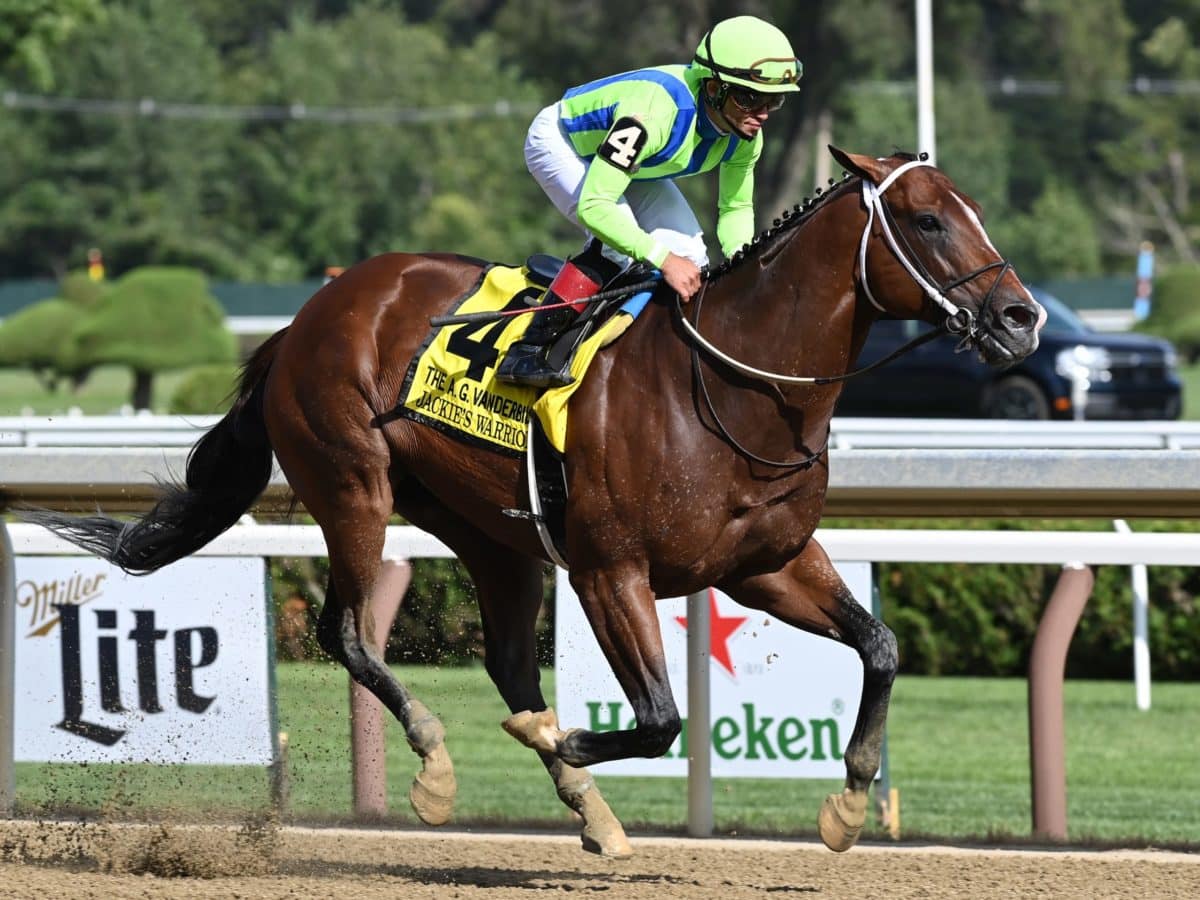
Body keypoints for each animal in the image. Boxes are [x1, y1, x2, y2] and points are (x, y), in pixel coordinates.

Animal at [28, 150, 1041, 859]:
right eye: (927, 219)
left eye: (976, 213)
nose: (1021, 318)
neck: (734, 382)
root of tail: (307, 317)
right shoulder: (609, 569)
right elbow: (659, 718)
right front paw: (564, 738)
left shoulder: (767, 565)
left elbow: (881, 645)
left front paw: (847, 803)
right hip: (352, 483)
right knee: (349, 631)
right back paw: (438, 764)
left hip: (488, 535)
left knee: (508, 662)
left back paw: (588, 811)